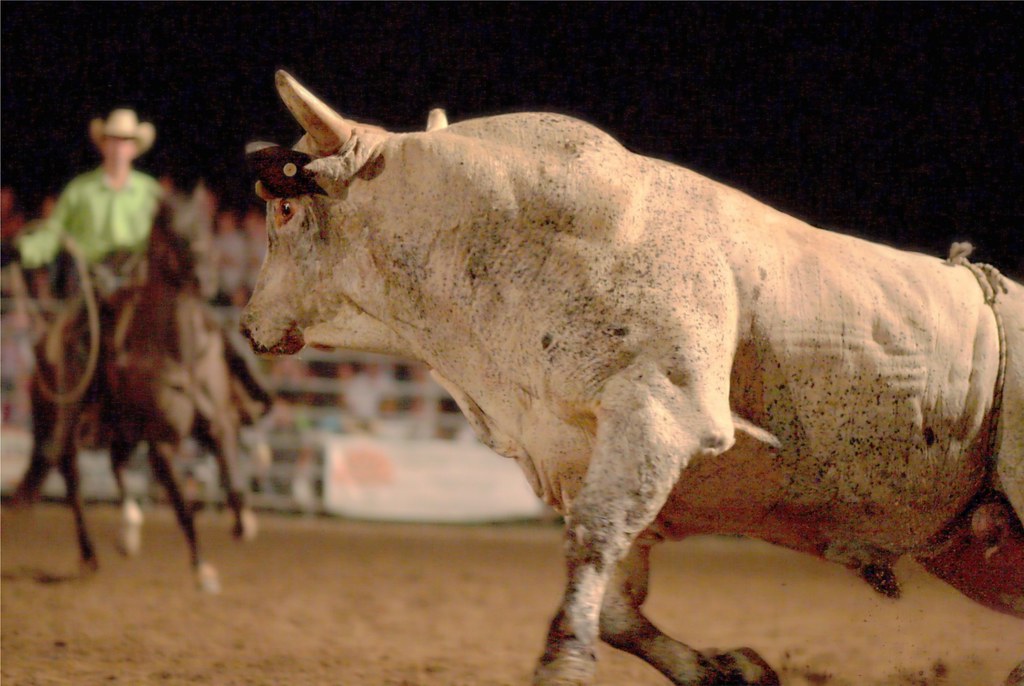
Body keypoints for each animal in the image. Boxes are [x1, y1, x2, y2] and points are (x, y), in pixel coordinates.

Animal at [242, 71, 1023, 685]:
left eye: (283, 208)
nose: (248, 322)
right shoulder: (593, 451)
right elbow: (618, 604)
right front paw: (730, 669)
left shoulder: (658, 412)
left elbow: (591, 544)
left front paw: (562, 666)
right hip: (975, 547)